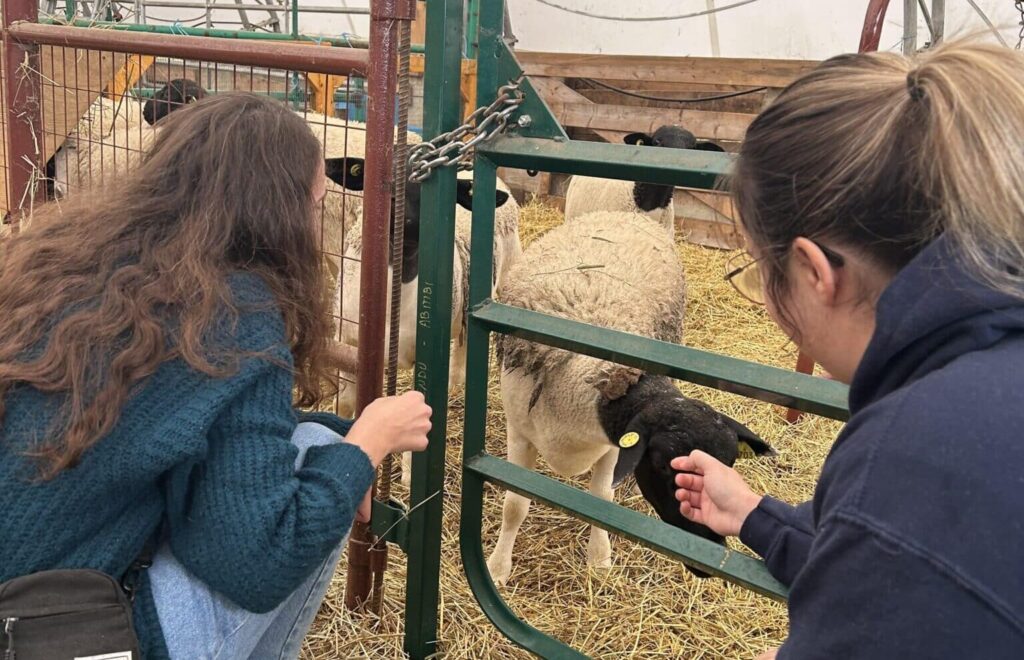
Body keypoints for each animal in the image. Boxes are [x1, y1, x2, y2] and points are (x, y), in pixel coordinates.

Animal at [487, 208, 770, 585]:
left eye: (728, 466)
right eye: (663, 465)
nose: (709, 558)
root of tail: (620, 212)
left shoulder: (612, 445)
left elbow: (602, 496)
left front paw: (599, 558)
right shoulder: (519, 431)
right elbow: (514, 505)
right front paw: (498, 568)